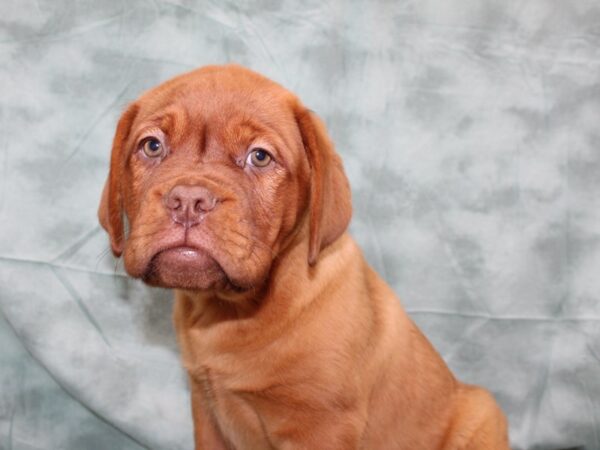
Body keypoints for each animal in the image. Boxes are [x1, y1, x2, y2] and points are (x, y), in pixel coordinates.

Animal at [97, 64, 506, 450]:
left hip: (483, 413)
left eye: (259, 156)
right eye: (152, 146)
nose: (188, 200)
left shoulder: (321, 425)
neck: (232, 312)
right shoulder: (207, 410)